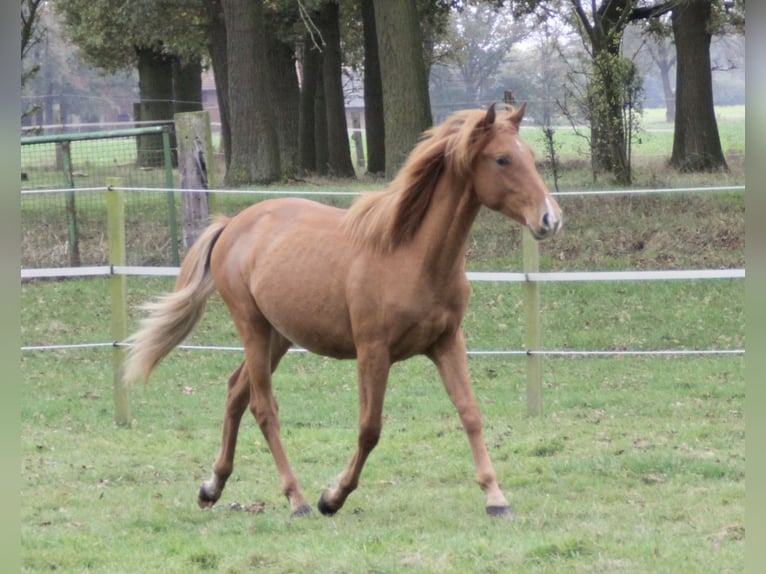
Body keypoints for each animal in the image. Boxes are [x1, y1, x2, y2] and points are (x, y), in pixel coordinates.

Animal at [124, 103, 564, 520]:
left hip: (278, 336)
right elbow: (370, 429)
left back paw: (212, 487)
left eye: (529, 155)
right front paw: (332, 497)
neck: (411, 255)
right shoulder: (373, 352)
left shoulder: (447, 342)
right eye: (502, 159)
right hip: (252, 327)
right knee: (263, 408)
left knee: (235, 392)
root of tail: (233, 224)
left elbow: (470, 413)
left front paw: (496, 498)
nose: (550, 218)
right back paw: (297, 500)